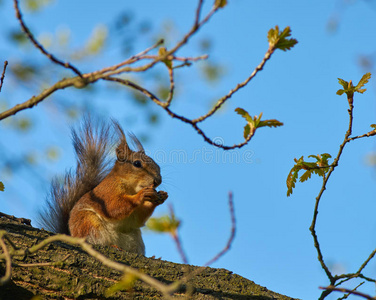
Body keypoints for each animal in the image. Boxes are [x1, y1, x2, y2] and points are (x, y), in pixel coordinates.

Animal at [38, 118, 167, 254]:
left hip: (134, 237)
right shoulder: (106, 193)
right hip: (88, 223)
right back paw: (112, 245)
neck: (131, 188)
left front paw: (161, 197)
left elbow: (138, 219)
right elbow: (113, 206)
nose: (157, 181)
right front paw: (141, 196)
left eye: (158, 166)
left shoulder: (133, 218)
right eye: (137, 164)